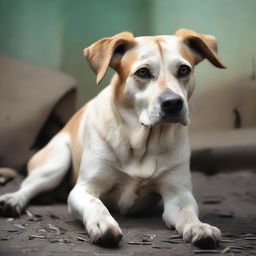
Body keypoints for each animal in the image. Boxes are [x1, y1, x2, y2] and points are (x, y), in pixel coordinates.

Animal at [1, 29, 227, 249]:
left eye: (183, 70)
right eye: (143, 72)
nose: (172, 103)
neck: (142, 144)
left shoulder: (178, 194)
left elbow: (187, 213)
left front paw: (199, 227)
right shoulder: (84, 189)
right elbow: (96, 204)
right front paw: (103, 223)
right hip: (55, 162)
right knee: (28, 186)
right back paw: (12, 200)